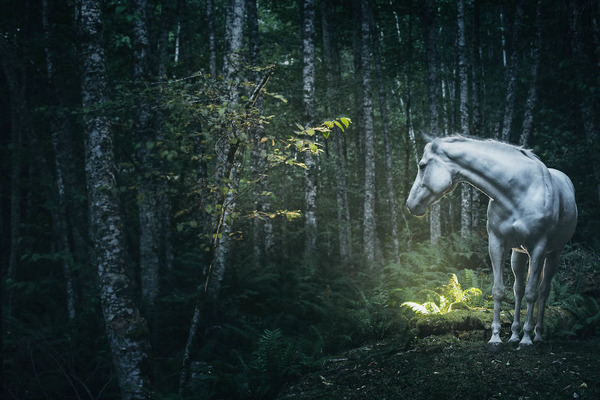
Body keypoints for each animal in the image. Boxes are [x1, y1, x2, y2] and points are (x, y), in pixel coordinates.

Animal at [406, 136, 580, 348]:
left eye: (422, 166)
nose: (410, 204)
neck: (519, 191)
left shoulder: (538, 248)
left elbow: (533, 293)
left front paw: (527, 340)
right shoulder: (497, 244)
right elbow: (498, 291)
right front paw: (496, 338)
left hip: (552, 254)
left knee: (543, 290)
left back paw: (536, 334)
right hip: (518, 255)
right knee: (518, 290)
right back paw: (514, 335)